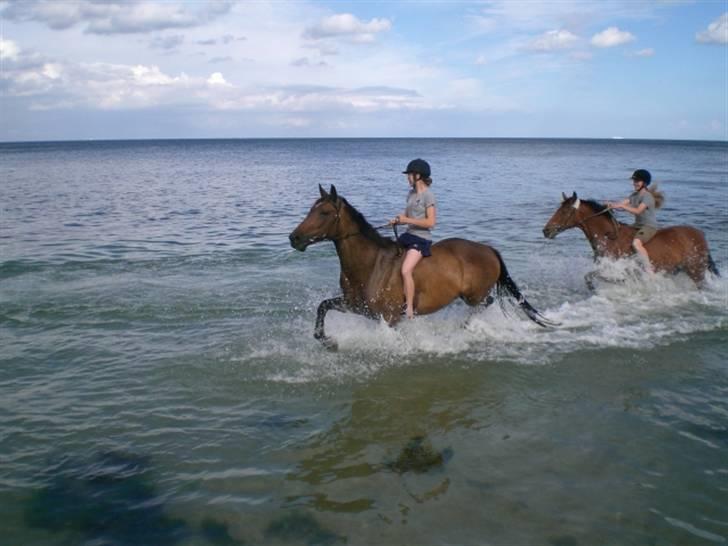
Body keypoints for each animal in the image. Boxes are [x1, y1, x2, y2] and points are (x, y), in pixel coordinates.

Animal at [288, 185, 556, 346]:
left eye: (324, 212)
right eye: (312, 209)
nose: (294, 238)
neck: (370, 265)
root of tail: (489, 249)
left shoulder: (389, 317)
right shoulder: (356, 306)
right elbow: (323, 306)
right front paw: (326, 340)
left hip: (473, 295)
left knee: (484, 303)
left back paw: (464, 327)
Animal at [540, 190, 716, 284]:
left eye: (564, 211)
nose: (546, 231)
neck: (608, 238)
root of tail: (699, 234)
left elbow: (599, 277)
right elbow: (588, 277)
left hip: (696, 271)